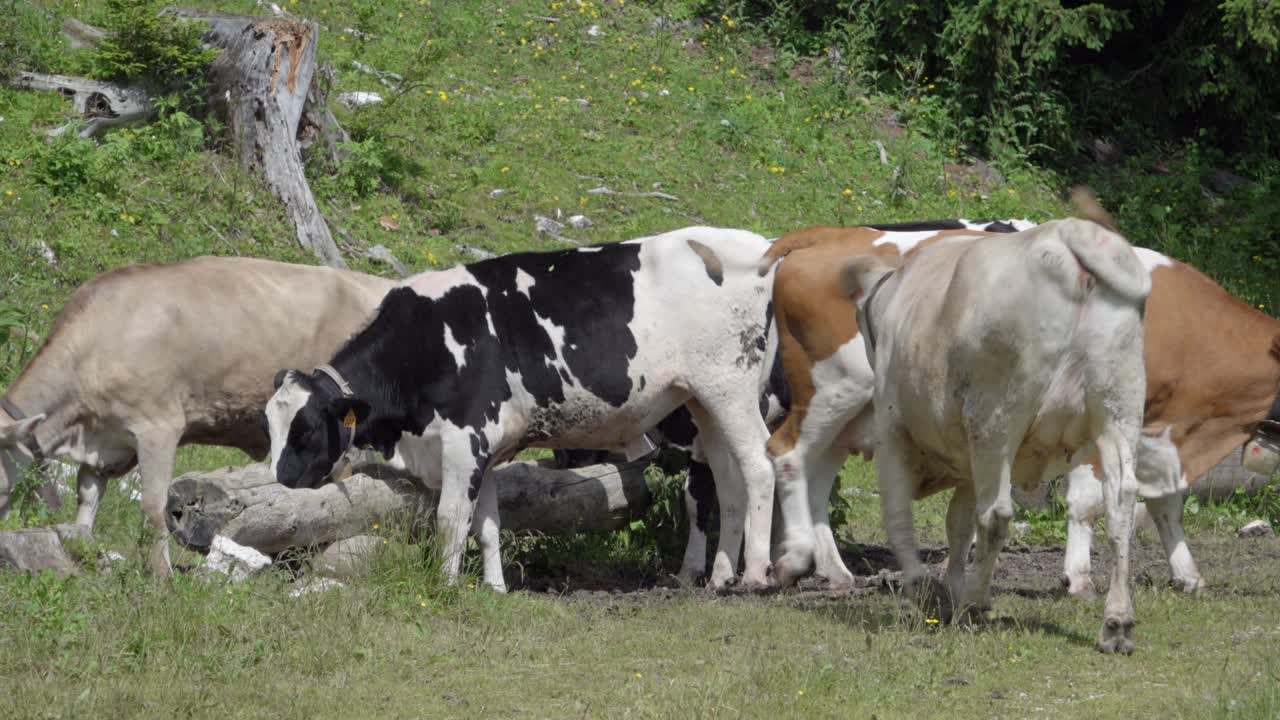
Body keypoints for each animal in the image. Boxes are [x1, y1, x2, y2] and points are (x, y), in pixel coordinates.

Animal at [0, 257, 396, 574]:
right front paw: (84, 553)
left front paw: (162, 576)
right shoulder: (104, 444)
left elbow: (153, 506)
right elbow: (86, 501)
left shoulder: (158, 427)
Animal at [265, 227, 781, 592]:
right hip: (703, 404)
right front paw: (494, 588)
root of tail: (759, 246)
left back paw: (755, 575)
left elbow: (451, 520)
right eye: (270, 425)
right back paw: (719, 576)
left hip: (731, 390)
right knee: (726, 481)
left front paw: (444, 585)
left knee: (759, 467)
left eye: (306, 430)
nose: (282, 480)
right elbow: (488, 524)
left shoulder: (464, 441)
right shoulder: (487, 448)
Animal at [831, 217, 1151, 653]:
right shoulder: (969, 463)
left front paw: (926, 590)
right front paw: (954, 589)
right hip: (1118, 411)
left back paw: (969, 609)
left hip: (995, 417)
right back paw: (1116, 623)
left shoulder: (893, 433)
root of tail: (1068, 233)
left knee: (997, 514)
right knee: (1120, 507)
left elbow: (899, 516)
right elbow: (959, 524)